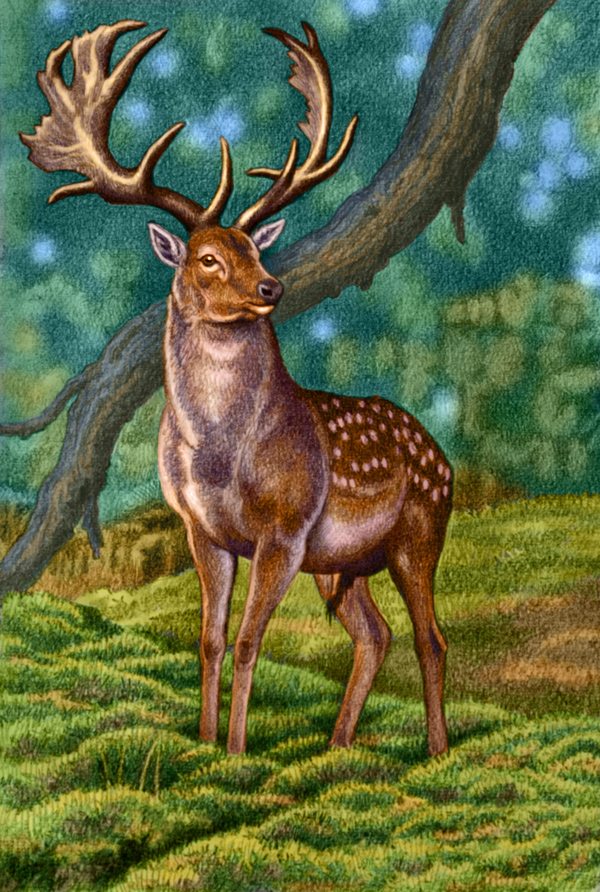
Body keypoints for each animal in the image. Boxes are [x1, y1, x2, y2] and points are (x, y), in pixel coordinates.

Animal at [20, 19, 452, 757]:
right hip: (341, 562)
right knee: (377, 634)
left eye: (257, 249)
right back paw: (338, 745)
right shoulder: (204, 531)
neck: (223, 459)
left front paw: (237, 749)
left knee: (431, 638)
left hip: (420, 530)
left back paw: (437, 752)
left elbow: (252, 642)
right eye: (208, 258)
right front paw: (203, 740)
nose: (271, 288)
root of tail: (442, 455)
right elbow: (212, 640)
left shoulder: (285, 529)